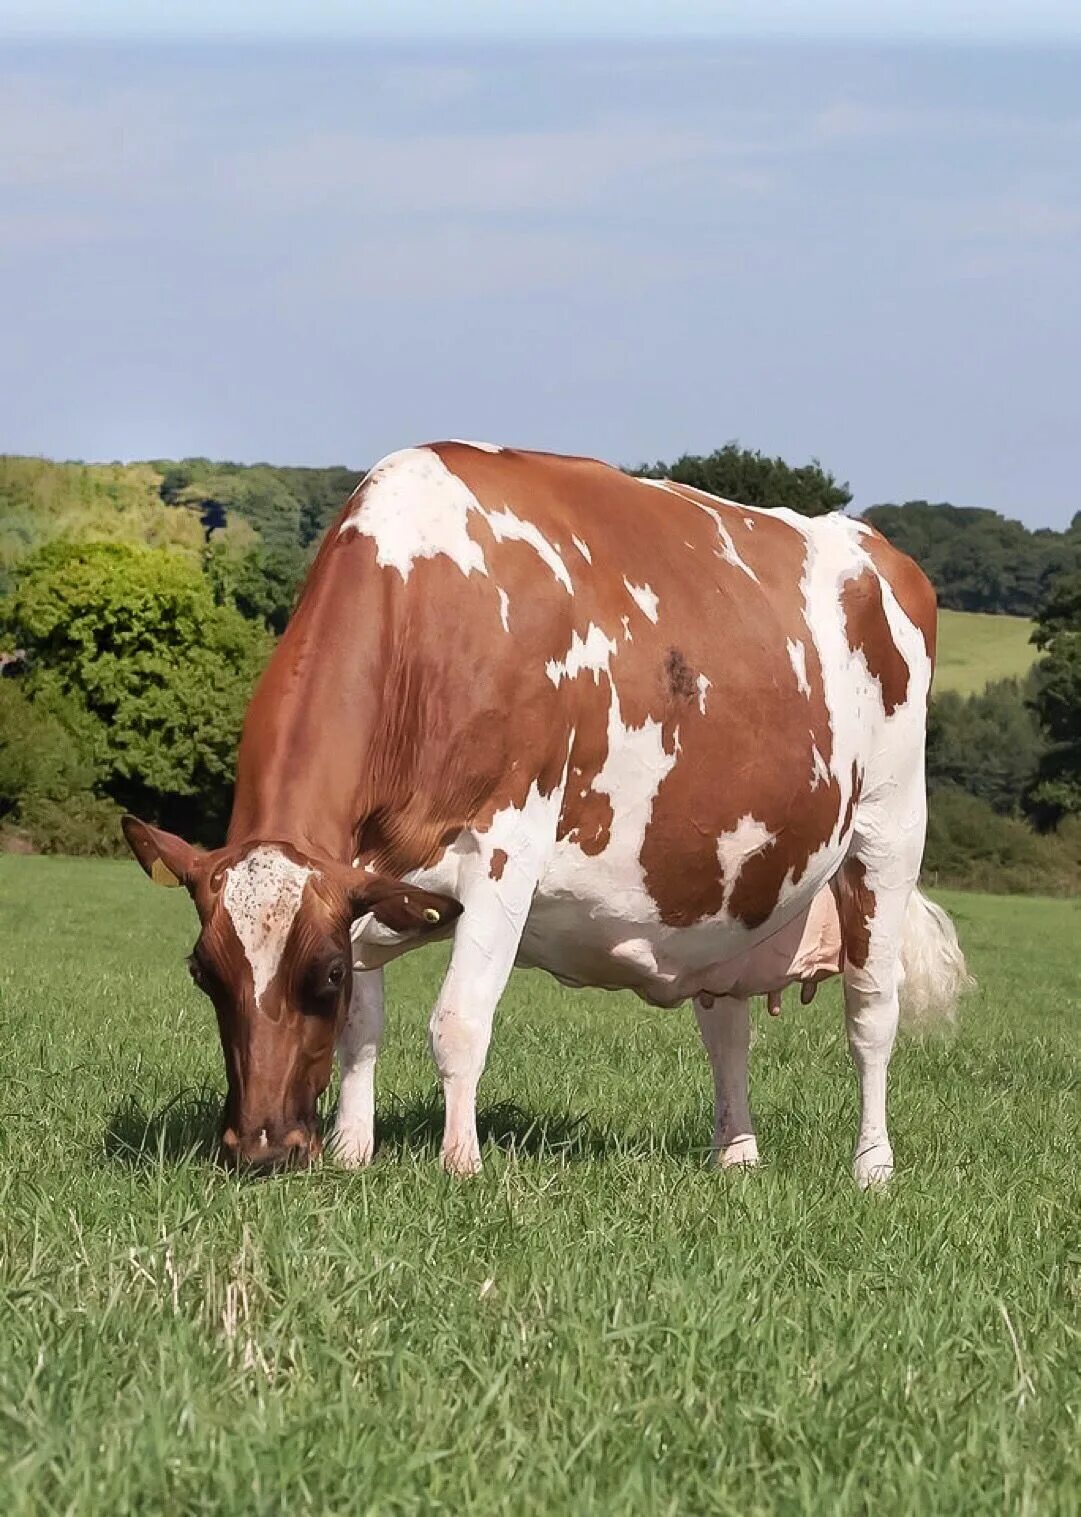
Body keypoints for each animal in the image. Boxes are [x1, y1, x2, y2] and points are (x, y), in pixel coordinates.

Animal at [122, 439, 964, 1183]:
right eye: (203, 971)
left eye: (320, 973)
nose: (260, 1147)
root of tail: (875, 548)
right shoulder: (362, 877)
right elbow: (363, 1028)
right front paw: (351, 1152)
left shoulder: (506, 850)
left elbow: (458, 1020)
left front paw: (460, 1165)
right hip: (725, 894)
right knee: (725, 1025)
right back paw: (735, 1154)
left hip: (888, 834)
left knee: (870, 1016)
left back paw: (872, 1166)